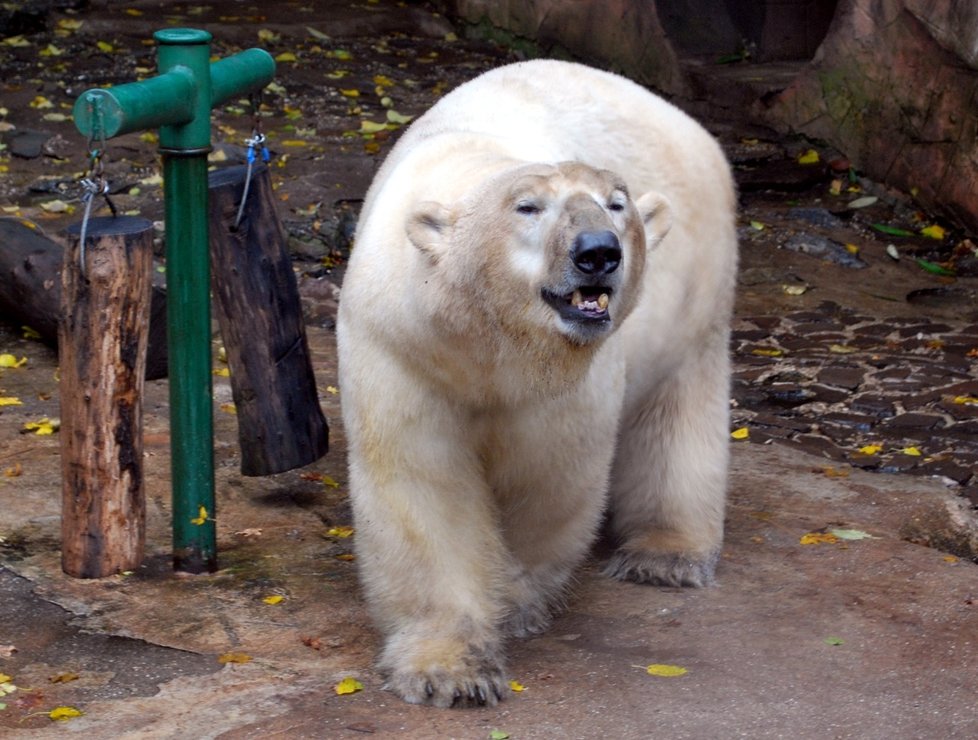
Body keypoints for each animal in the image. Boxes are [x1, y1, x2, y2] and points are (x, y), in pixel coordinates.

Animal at [334, 60, 732, 708]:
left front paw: (516, 601)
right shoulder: (400, 347)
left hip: (699, 286)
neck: (487, 343)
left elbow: (549, 476)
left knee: (676, 408)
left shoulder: (571, 381)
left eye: (615, 203)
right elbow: (421, 484)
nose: (598, 251)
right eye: (527, 207)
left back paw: (664, 556)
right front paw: (450, 670)